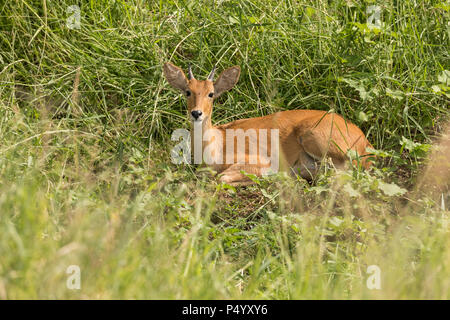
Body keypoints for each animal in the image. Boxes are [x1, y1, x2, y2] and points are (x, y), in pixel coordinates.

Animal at [163, 62, 374, 185]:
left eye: (211, 93)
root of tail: (364, 141)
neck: (216, 144)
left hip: (314, 138)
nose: (196, 113)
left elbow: (222, 178)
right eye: (187, 91)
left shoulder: (260, 161)